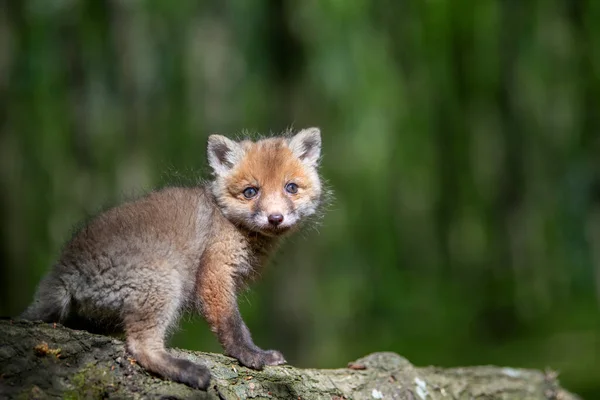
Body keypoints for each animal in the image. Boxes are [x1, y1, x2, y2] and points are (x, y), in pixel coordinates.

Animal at [21, 128, 326, 390]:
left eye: (291, 188)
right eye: (251, 191)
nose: (275, 218)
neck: (229, 223)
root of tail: (63, 268)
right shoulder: (215, 274)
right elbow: (232, 325)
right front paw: (252, 355)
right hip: (164, 283)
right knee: (141, 347)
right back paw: (188, 371)